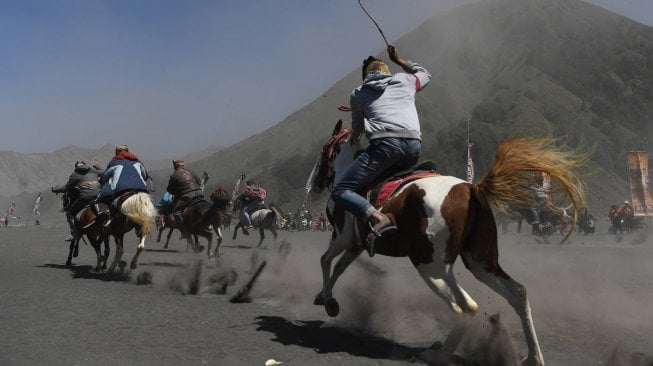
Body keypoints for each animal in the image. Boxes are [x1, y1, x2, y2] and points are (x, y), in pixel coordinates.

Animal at [310, 120, 584, 366]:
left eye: (324, 149)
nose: (314, 186)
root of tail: (471, 189)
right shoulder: (356, 245)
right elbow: (338, 267)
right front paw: (324, 296)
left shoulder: (342, 237)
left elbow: (325, 261)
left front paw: (329, 302)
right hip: (481, 262)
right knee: (517, 292)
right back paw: (533, 357)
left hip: (430, 265)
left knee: (466, 307)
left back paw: (437, 356)